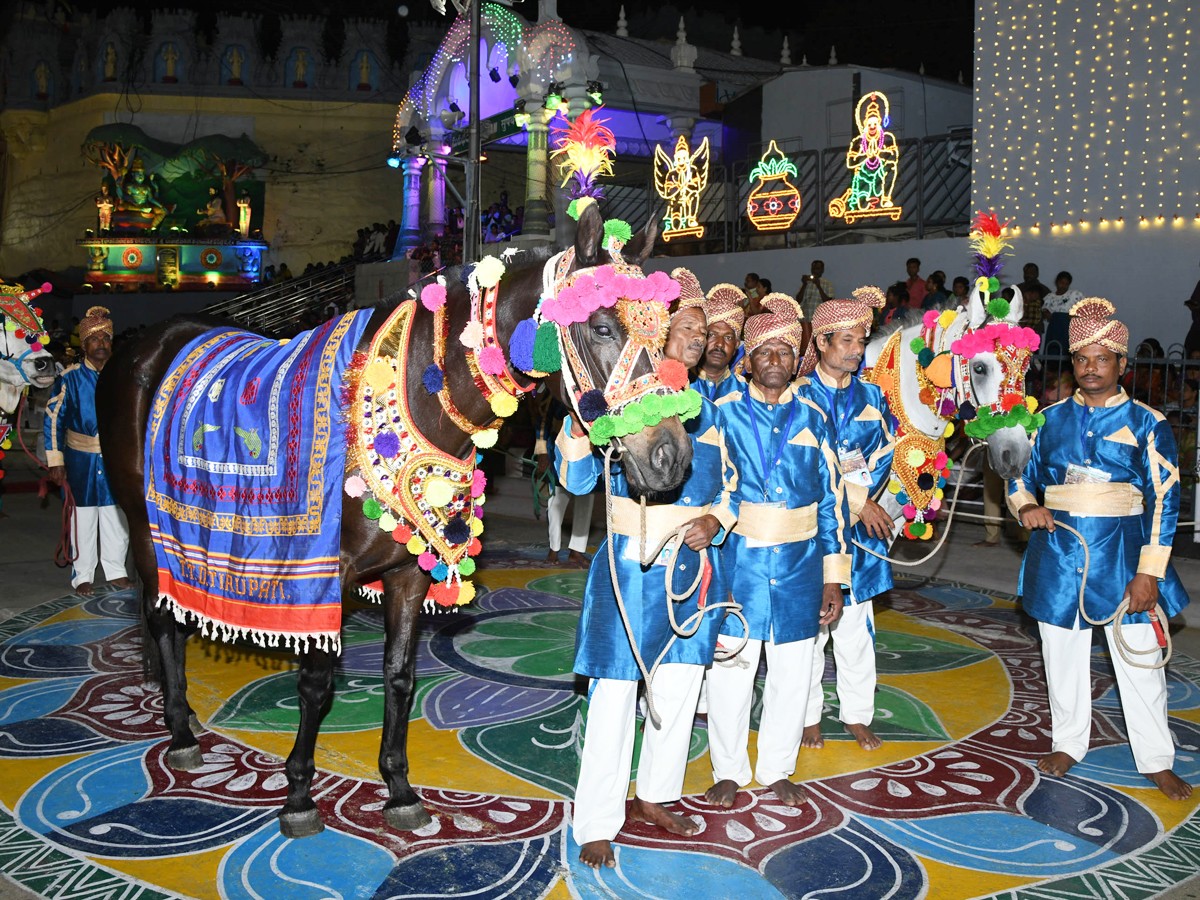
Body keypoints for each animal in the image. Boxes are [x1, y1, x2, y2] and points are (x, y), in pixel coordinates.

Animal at [96, 207, 696, 844]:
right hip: (147, 526)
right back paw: (181, 730)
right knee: (161, 616)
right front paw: (299, 793)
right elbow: (316, 684)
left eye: (663, 333)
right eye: (603, 327)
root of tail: (143, 343)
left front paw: (399, 788)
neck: (410, 392)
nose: (670, 455)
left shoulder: (408, 573)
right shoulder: (322, 578)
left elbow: (401, 678)